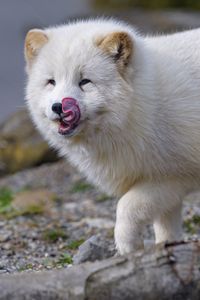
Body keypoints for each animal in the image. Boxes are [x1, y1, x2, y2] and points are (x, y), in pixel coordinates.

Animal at [24, 18, 200, 254]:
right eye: (51, 82)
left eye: (85, 81)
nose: (59, 107)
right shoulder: (165, 184)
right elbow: (165, 227)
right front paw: (165, 248)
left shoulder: (174, 176)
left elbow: (125, 207)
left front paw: (128, 248)